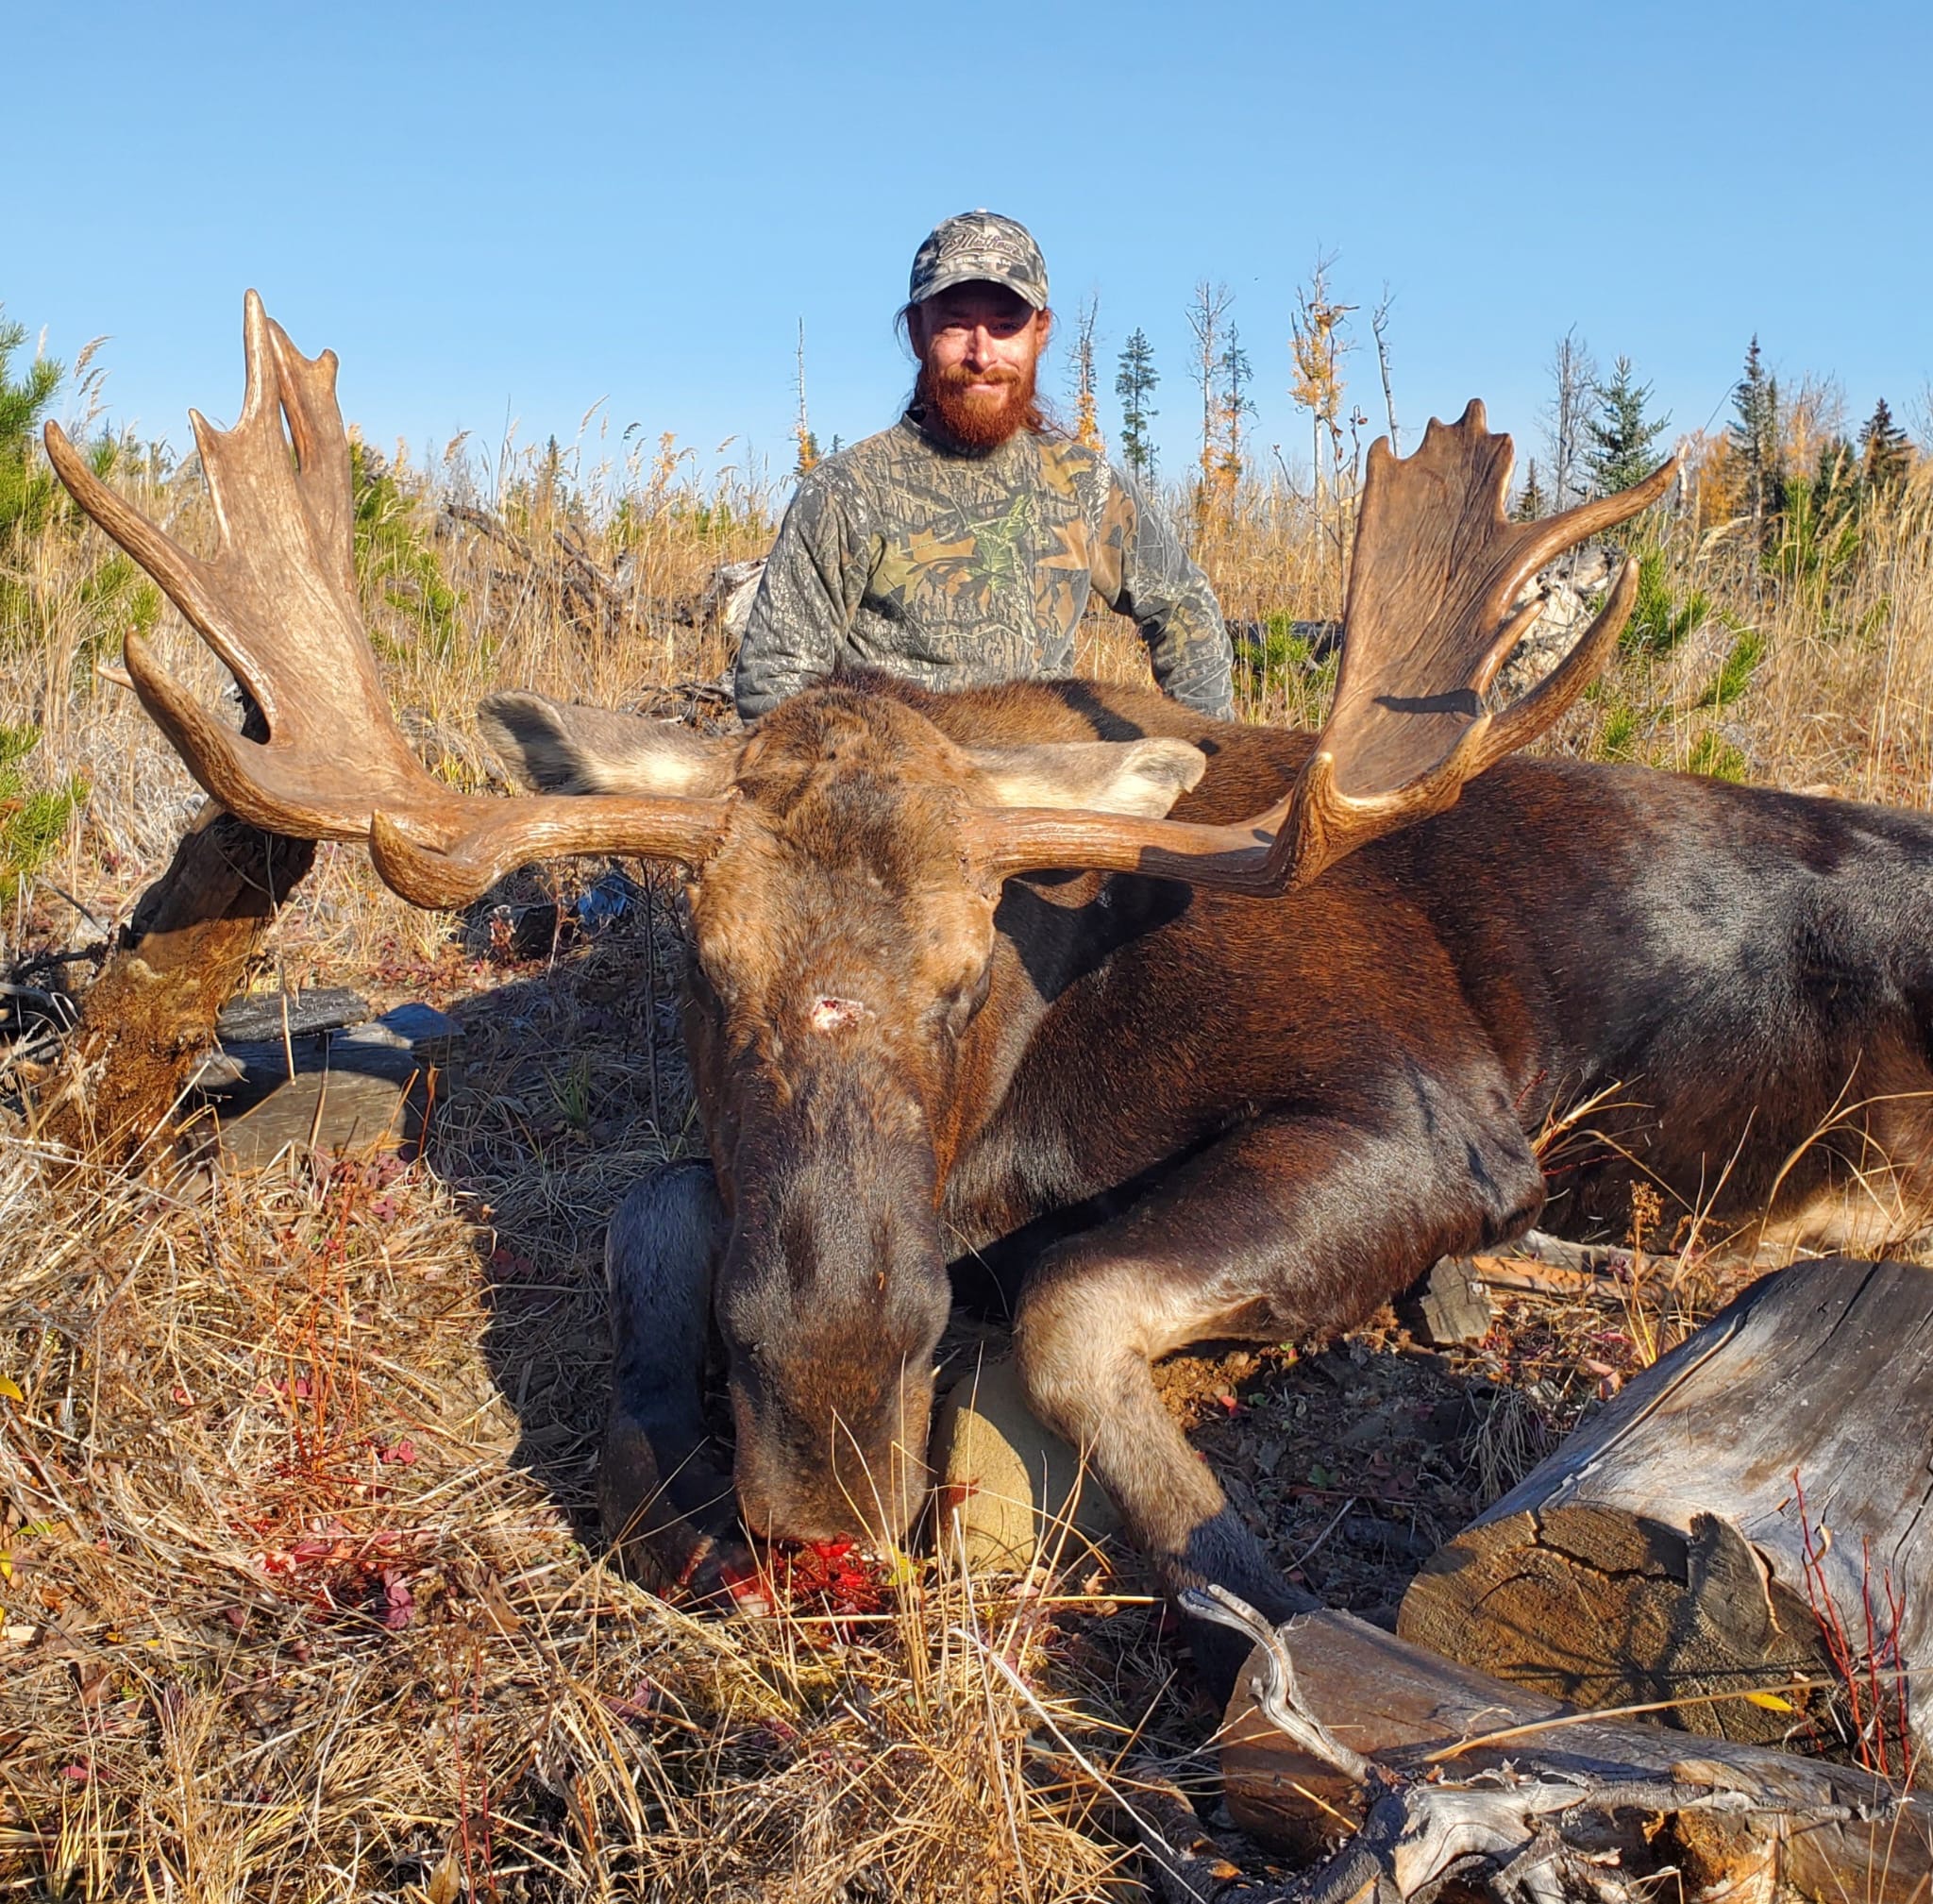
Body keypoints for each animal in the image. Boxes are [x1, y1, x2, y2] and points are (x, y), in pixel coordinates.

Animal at [48, 295, 1933, 1688]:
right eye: (701, 968)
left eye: (968, 979)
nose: (822, 1428)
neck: (1025, 1097)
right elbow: (656, 1220)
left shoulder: (1435, 1121)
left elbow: (1071, 1304)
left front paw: (1255, 1602)